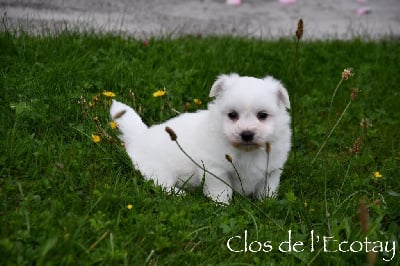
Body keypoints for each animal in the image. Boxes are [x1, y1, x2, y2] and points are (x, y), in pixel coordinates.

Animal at [109, 74, 290, 205]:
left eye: (262, 115)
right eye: (232, 115)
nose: (246, 134)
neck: (246, 151)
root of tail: (140, 136)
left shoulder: (272, 170)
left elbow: (268, 189)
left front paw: (267, 203)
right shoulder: (215, 169)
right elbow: (221, 189)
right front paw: (222, 205)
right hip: (156, 169)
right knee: (160, 184)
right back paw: (180, 194)